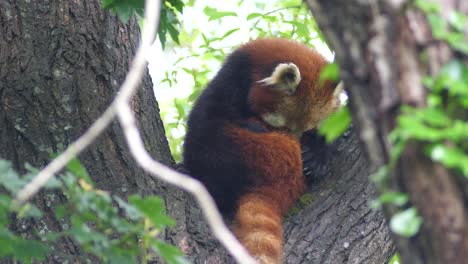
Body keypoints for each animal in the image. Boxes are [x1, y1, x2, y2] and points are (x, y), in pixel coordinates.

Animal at [184, 38, 344, 262]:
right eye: (284, 127)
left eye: (307, 131)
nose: (295, 144)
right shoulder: (233, 75)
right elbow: (219, 109)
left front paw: (317, 156)